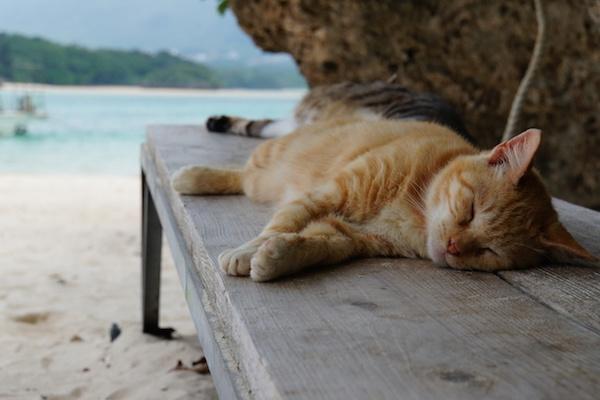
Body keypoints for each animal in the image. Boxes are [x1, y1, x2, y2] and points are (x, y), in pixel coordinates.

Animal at [171, 80, 592, 282]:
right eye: (470, 210)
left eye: (490, 252)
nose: (453, 247)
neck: (415, 206)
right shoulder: (327, 195)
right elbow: (281, 224)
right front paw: (247, 252)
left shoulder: (347, 235)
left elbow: (312, 246)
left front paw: (276, 258)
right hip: (272, 163)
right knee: (242, 176)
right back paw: (193, 176)